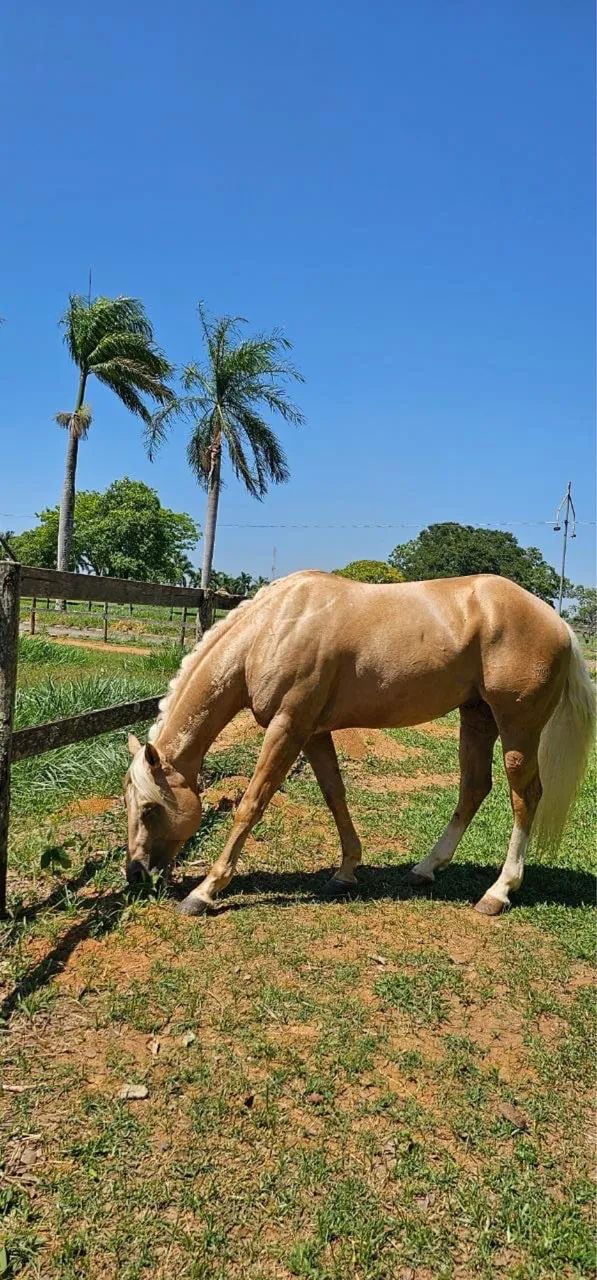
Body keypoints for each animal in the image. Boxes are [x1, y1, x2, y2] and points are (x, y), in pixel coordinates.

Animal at [124, 571, 594, 917]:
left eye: (150, 808)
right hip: (476, 718)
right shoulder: (313, 732)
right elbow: (335, 794)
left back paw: (498, 892)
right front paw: (346, 870)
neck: (274, 628)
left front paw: (206, 891)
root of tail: (558, 623)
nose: (136, 874)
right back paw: (425, 869)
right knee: (474, 787)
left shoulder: (287, 728)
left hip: (517, 728)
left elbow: (251, 804)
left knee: (525, 797)